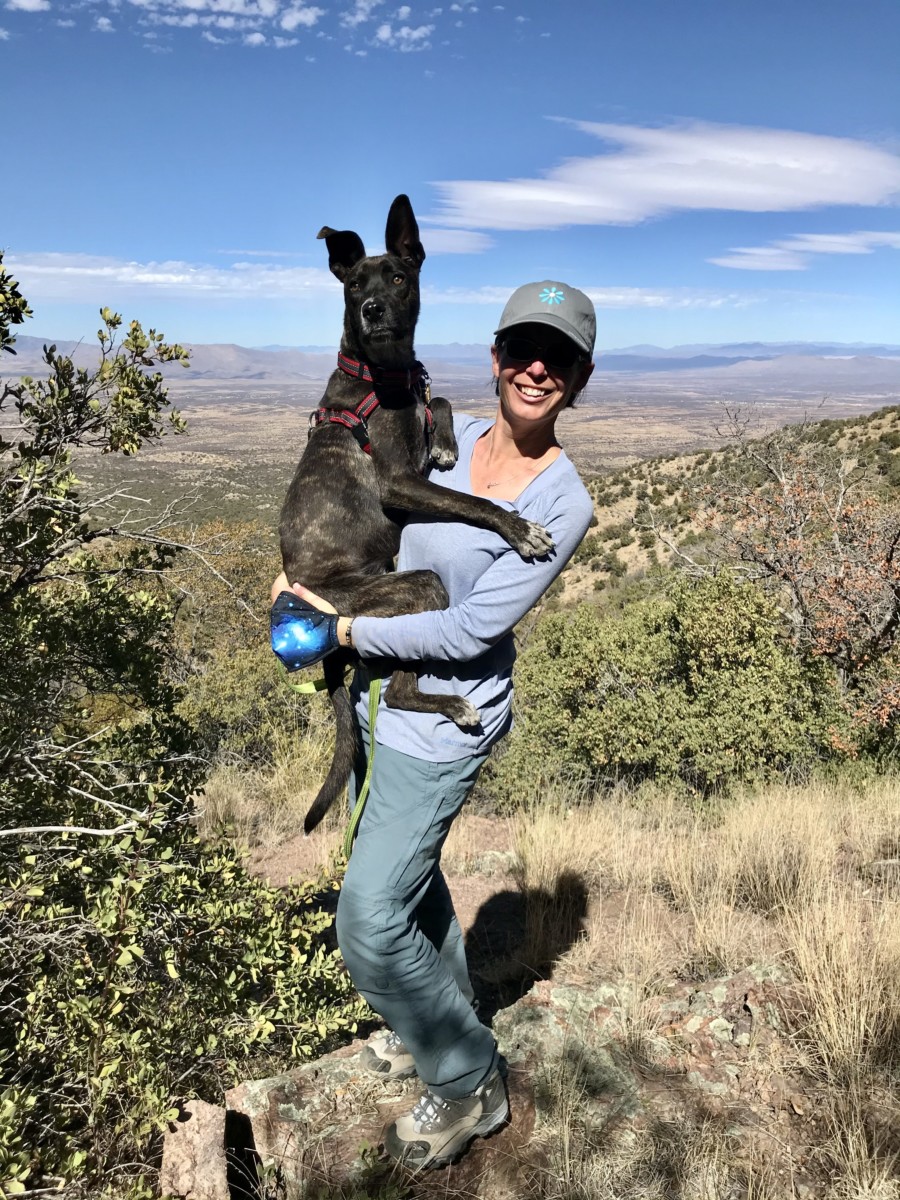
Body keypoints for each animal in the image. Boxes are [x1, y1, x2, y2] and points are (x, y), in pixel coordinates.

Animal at [278, 196, 554, 835]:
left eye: (399, 277)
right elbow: (475, 503)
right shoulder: (398, 483)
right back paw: (451, 705)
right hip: (409, 590)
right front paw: (520, 529)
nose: (373, 309)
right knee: (398, 691)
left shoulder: (420, 423)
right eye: (354, 284)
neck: (383, 376)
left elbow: (443, 397)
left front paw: (449, 442)